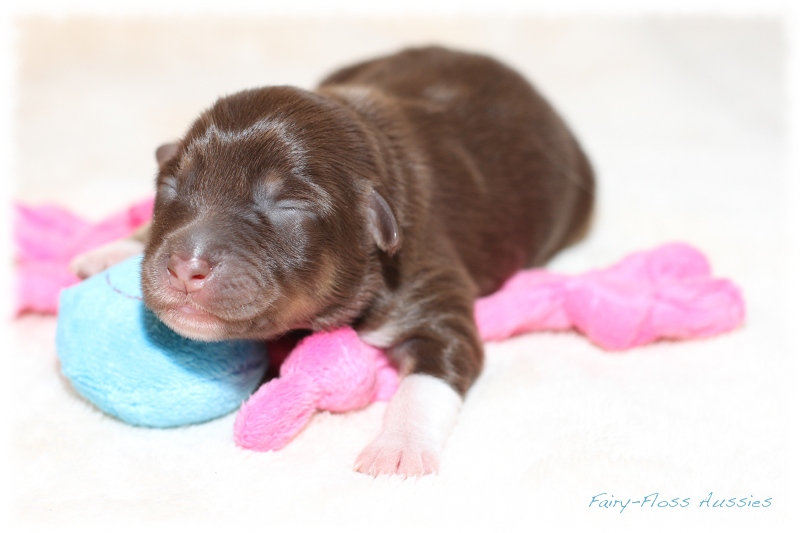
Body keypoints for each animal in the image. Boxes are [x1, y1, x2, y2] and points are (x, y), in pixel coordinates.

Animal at [70, 47, 592, 476]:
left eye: (288, 206)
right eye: (170, 187)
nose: (185, 265)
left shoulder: (430, 288)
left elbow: (429, 376)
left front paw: (398, 447)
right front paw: (114, 247)